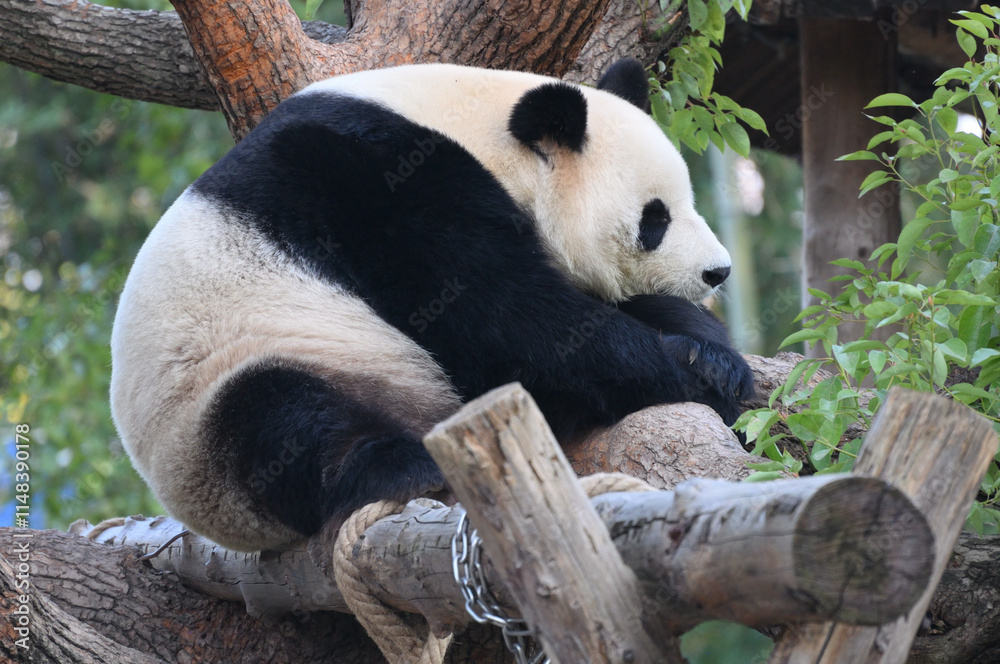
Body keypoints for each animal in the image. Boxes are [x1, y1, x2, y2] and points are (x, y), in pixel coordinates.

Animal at [110, 59, 754, 552]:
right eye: (654, 219)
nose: (718, 270)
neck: (485, 134)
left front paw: (710, 350)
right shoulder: (384, 182)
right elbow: (508, 322)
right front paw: (690, 372)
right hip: (227, 387)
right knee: (282, 418)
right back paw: (396, 465)